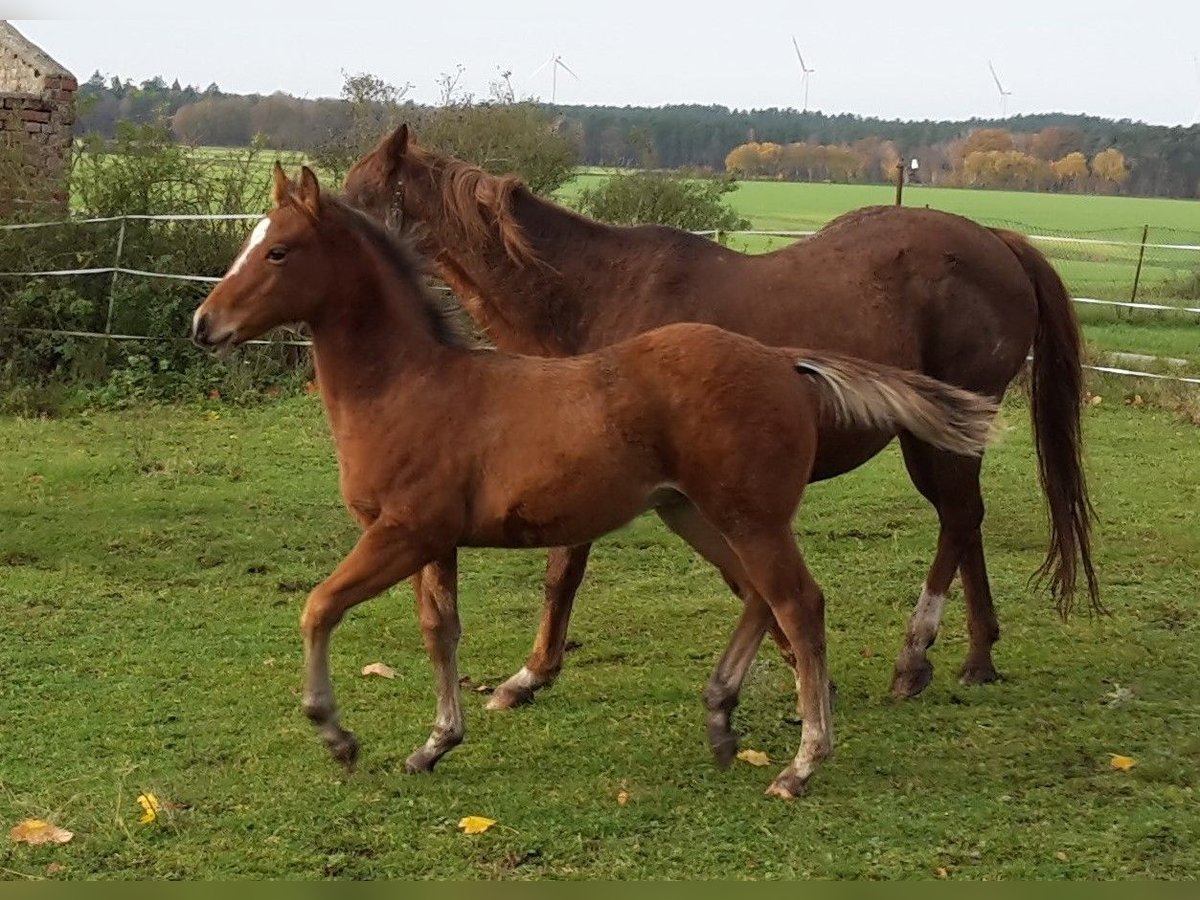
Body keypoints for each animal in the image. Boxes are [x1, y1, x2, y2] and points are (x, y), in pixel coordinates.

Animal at [189, 165, 993, 801]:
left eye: (279, 250)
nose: (204, 323)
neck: (409, 386)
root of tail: (784, 361)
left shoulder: (402, 533)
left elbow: (319, 608)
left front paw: (336, 733)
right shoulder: (433, 543)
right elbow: (439, 632)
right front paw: (435, 743)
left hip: (752, 518)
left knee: (799, 603)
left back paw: (803, 762)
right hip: (694, 515)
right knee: (760, 598)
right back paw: (720, 716)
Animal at [345, 123, 1099, 710]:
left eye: (354, 199)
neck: (596, 296)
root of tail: (995, 242)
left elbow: (581, 569)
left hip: (938, 437)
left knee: (959, 520)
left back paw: (917, 656)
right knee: (963, 524)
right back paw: (976, 657)